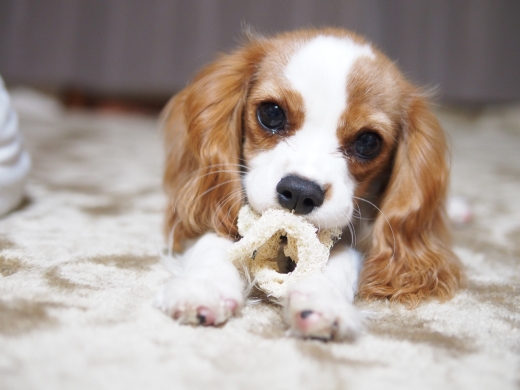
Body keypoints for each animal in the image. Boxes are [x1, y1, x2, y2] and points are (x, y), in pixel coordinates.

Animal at [156, 27, 466, 340]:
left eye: (368, 142)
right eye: (272, 113)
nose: (299, 192)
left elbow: (342, 255)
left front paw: (321, 298)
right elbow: (212, 236)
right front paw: (204, 285)